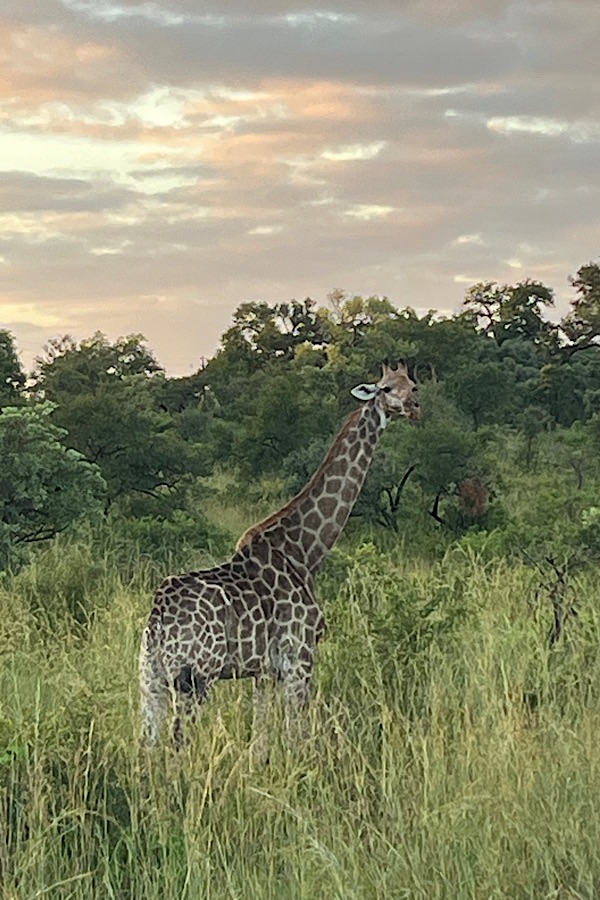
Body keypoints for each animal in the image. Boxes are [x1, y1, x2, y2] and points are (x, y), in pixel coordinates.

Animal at [139, 362, 422, 756]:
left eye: (413, 385)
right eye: (384, 389)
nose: (413, 408)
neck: (306, 552)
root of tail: (158, 615)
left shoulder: (264, 671)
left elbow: (261, 739)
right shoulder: (299, 657)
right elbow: (296, 734)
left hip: (150, 678)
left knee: (147, 745)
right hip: (195, 675)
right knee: (179, 741)